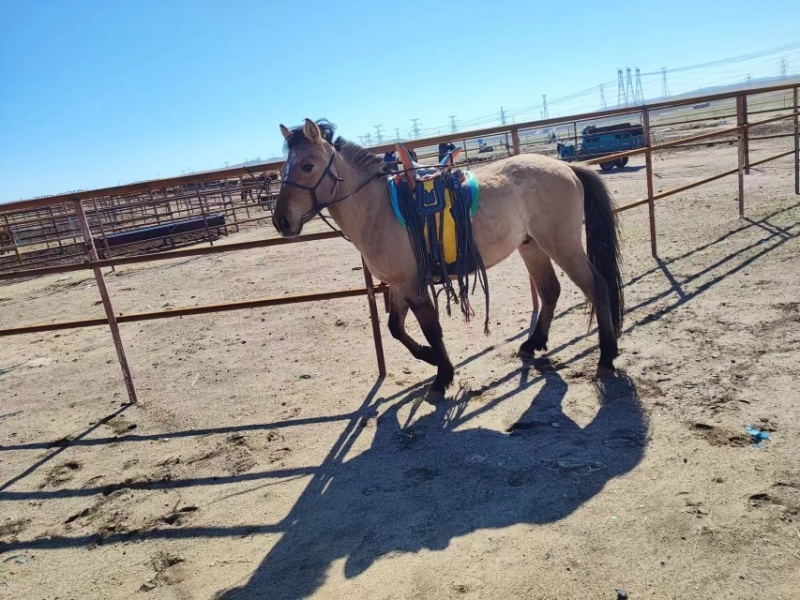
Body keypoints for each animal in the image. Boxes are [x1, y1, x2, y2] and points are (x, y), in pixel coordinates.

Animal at [273, 119, 624, 401]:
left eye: (307, 165)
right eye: (282, 170)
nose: (282, 222)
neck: (377, 208)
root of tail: (567, 168)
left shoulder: (412, 286)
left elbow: (431, 328)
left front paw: (442, 377)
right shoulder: (398, 285)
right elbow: (395, 328)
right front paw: (430, 358)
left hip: (562, 245)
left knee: (597, 286)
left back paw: (606, 357)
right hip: (532, 247)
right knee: (551, 290)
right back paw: (532, 344)